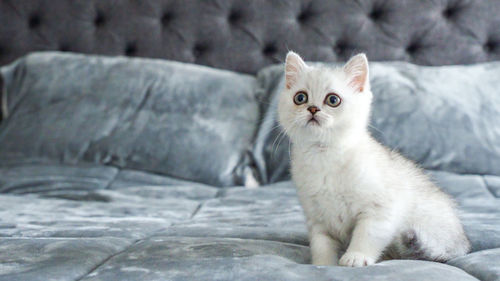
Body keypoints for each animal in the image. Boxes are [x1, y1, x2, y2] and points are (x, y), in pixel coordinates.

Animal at [278, 52, 468, 264]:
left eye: (333, 100)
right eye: (300, 97)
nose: (312, 108)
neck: (323, 155)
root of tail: (462, 243)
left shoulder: (380, 209)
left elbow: (367, 234)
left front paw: (355, 256)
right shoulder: (317, 219)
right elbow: (321, 246)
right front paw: (323, 264)